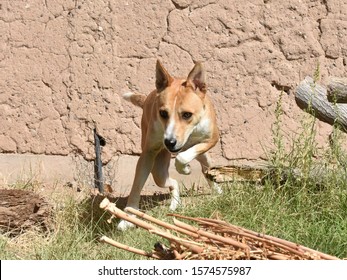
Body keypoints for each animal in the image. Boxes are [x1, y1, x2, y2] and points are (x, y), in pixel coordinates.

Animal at [118, 60, 222, 230]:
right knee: (172, 182)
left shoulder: (212, 138)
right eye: (163, 113)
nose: (169, 142)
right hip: (158, 172)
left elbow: (182, 157)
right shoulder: (148, 154)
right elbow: (136, 186)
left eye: (187, 114)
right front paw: (128, 217)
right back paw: (174, 203)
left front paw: (185, 169)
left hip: (204, 157)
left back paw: (217, 190)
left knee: (206, 170)